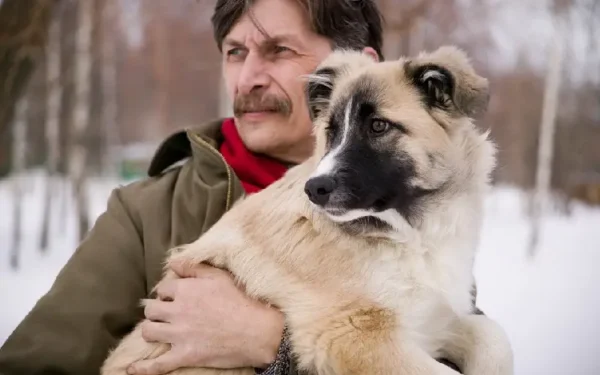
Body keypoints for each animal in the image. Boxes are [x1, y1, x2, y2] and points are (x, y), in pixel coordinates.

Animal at [101, 46, 512, 375]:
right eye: (331, 131)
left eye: (378, 126)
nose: (315, 189)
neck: (407, 233)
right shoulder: (354, 335)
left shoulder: (431, 319)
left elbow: (494, 338)